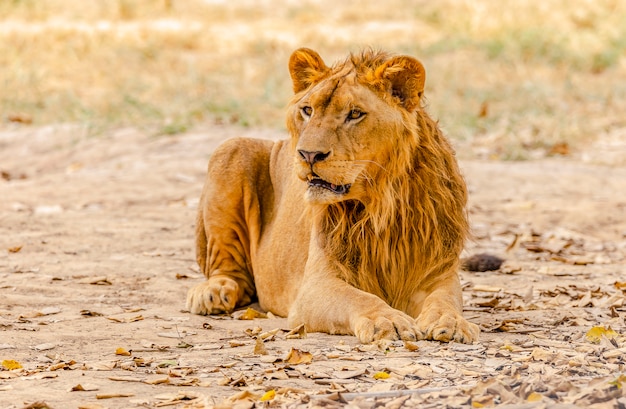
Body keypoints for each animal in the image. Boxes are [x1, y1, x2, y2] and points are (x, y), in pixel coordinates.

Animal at [185, 46, 478, 342]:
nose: (308, 154)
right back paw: (214, 292)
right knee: (228, 270)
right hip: (231, 148)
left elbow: (445, 300)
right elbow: (360, 298)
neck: (380, 204)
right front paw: (387, 319)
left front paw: (452, 322)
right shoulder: (315, 285)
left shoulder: (437, 272)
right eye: (307, 110)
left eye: (355, 114)